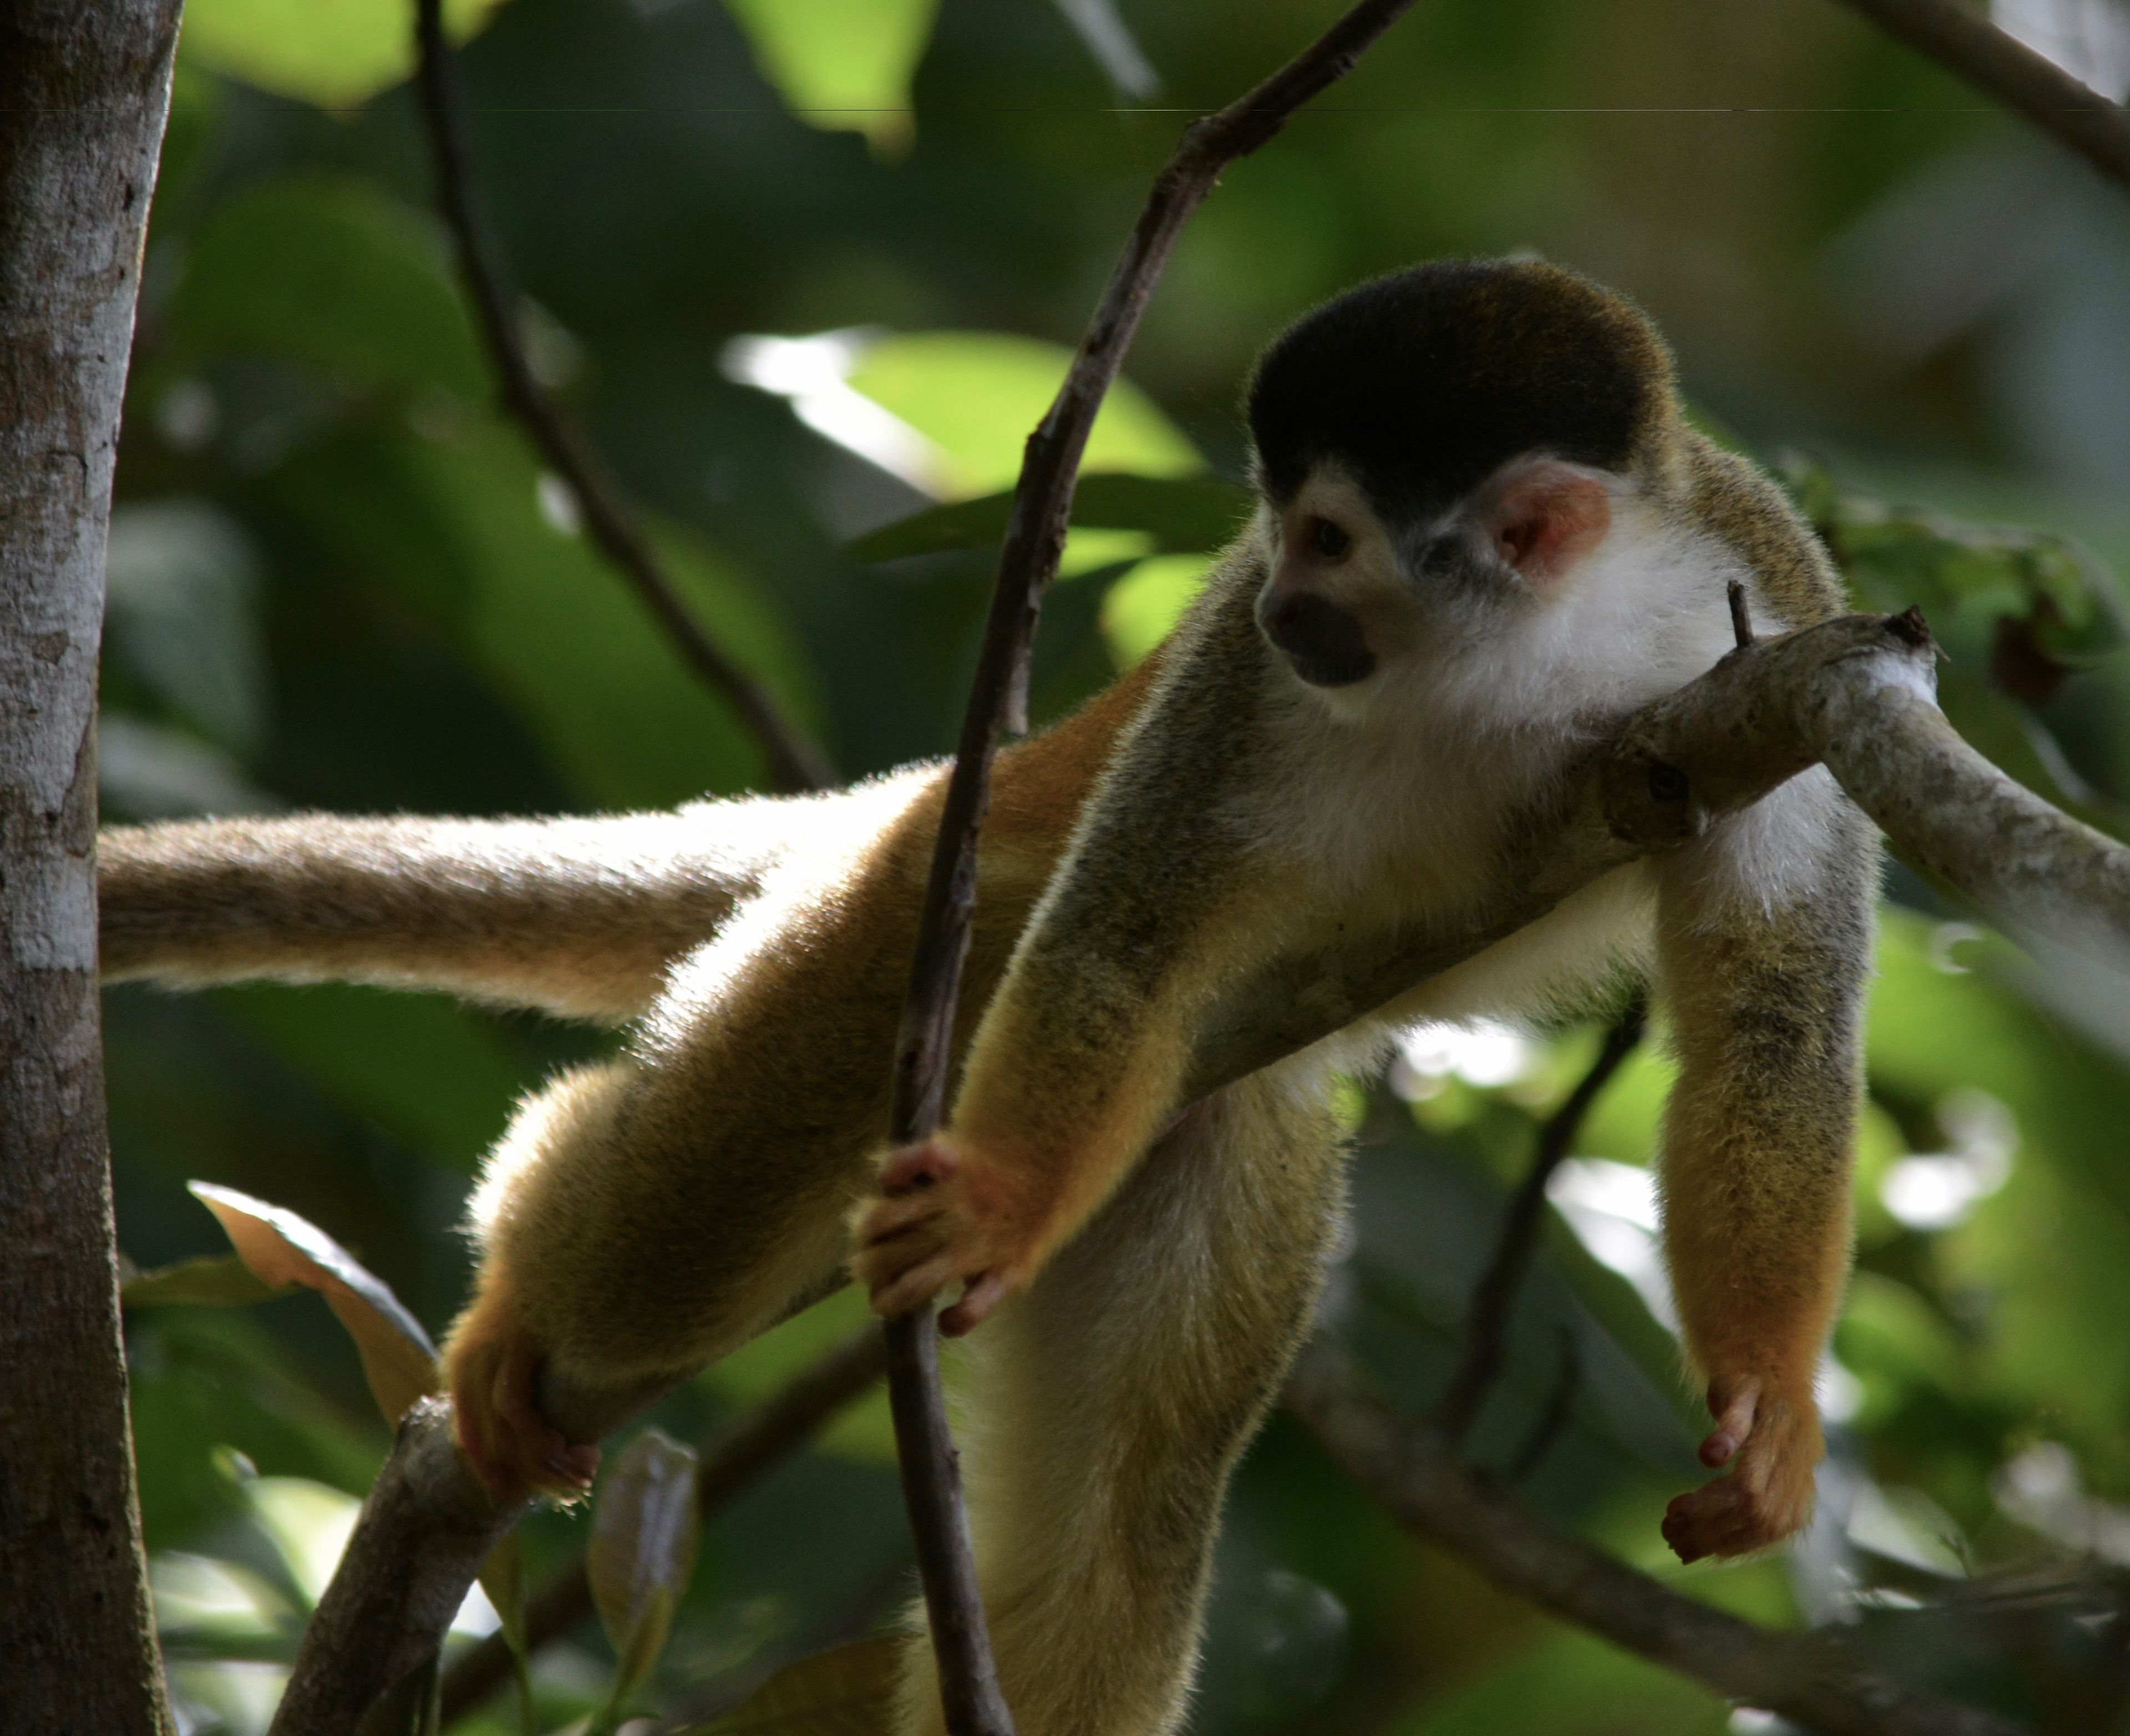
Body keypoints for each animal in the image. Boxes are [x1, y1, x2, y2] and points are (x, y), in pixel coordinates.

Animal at [100, 258, 1876, 1734]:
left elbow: (1772, 1022)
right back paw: (534, 1277)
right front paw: (1002, 1200)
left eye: (1328, 537)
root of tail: (948, 798)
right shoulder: (1240, 692)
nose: (1274, 600)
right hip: (910, 929)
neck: (1534, 647)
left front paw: (1769, 1405)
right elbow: (1123, 937)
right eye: (1280, 535)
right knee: (707, 1208)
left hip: (1208, 1117)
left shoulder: (1782, 635)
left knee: (1125, 1510)